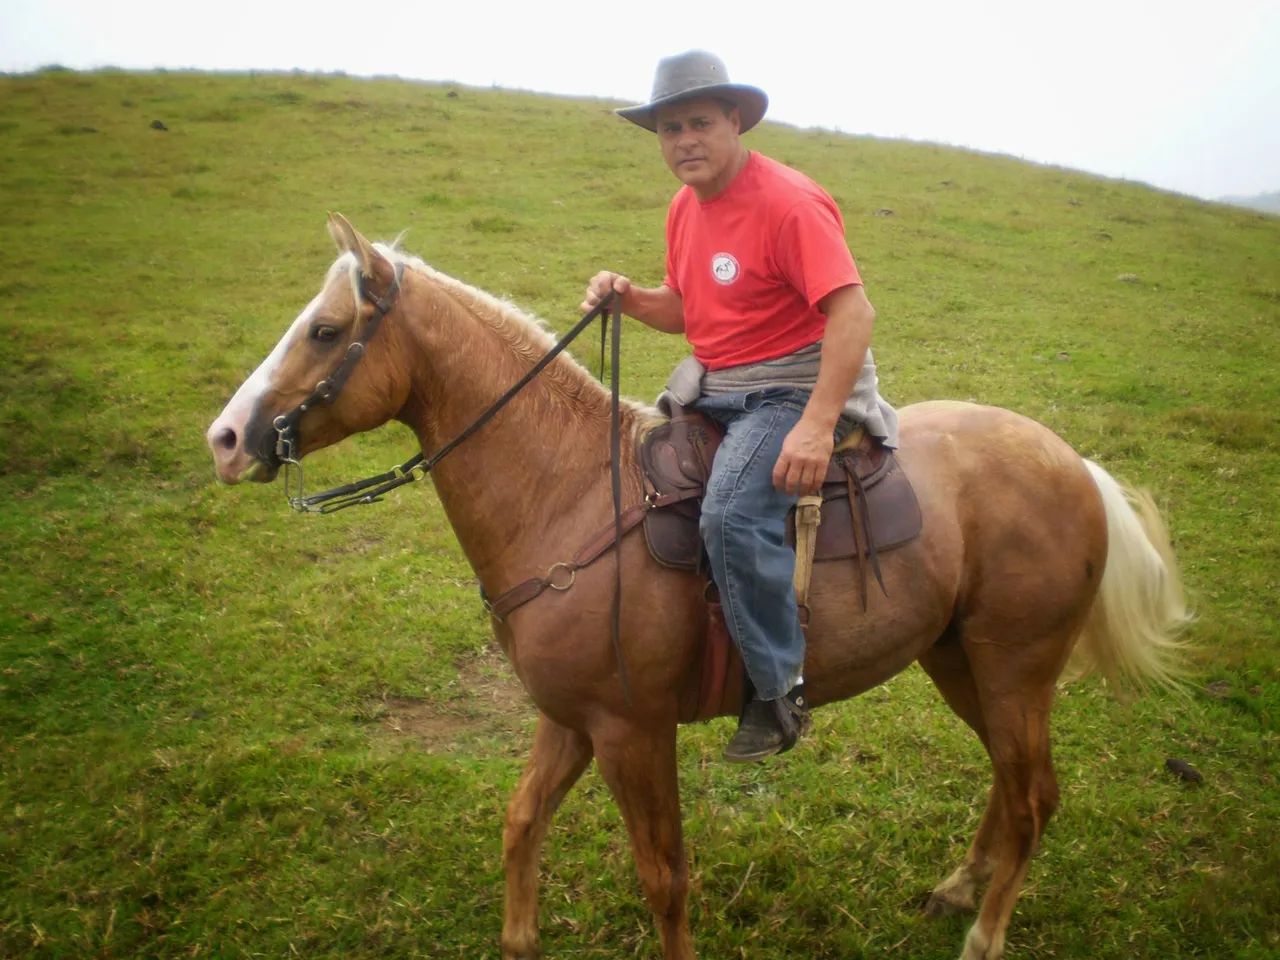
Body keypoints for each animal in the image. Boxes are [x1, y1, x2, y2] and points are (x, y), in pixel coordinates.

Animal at [206, 214, 1190, 960]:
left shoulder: (632, 731)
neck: (569, 491)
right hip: (960, 661)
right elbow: (521, 822)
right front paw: (520, 937)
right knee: (1012, 782)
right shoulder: (571, 718)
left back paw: (984, 936)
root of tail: (1076, 466)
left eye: (325, 330)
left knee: (1032, 797)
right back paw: (957, 888)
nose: (225, 438)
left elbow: (664, 876)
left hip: (1014, 667)